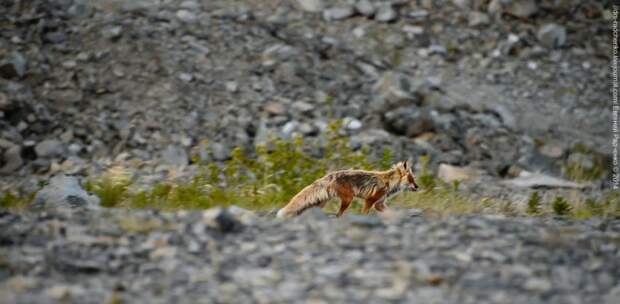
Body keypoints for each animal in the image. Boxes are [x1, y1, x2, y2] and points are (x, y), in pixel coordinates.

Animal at [278, 160, 418, 217]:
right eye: (412, 179)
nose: (417, 187)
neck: (389, 182)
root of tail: (331, 175)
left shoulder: (379, 204)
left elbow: (389, 211)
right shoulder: (370, 200)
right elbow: (364, 212)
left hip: (321, 202)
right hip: (348, 199)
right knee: (338, 215)